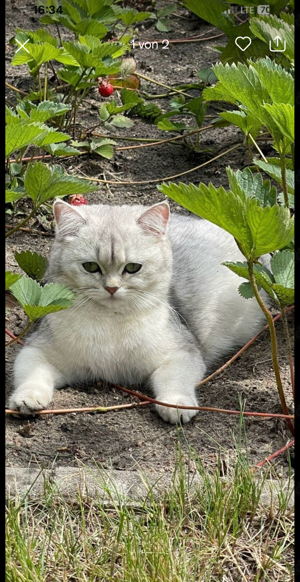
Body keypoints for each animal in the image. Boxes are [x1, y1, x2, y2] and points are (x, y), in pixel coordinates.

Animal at [8, 201, 268, 424]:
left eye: (133, 268)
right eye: (90, 267)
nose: (111, 288)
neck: (111, 323)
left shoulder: (183, 353)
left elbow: (173, 379)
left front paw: (176, 404)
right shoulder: (36, 350)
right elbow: (32, 375)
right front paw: (27, 399)